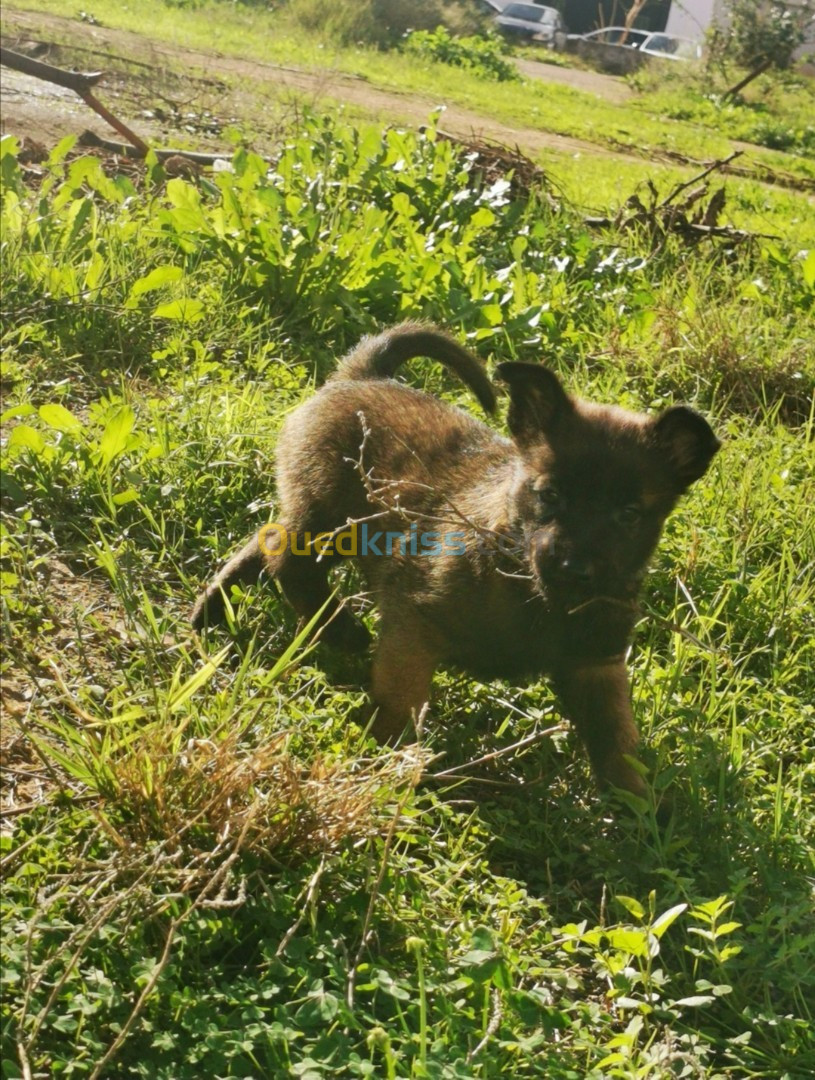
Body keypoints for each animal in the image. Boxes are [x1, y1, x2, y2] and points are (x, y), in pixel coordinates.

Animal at [193, 324, 721, 799]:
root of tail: (362, 375)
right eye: (549, 495)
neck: (533, 596)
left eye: (629, 515)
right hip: (329, 518)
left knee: (263, 540)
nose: (574, 570)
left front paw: (641, 817)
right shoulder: (412, 626)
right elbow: (400, 704)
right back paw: (339, 628)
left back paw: (213, 611)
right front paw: (387, 765)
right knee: (283, 554)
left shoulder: (597, 665)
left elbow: (617, 744)